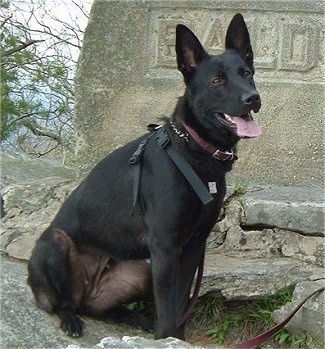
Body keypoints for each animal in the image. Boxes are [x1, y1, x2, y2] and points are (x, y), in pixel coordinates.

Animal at [27, 14, 260, 340]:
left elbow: (180, 303)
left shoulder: (193, 247)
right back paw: (71, 319)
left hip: (140, 270)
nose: (253, 98)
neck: (193, 151)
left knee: (97, 308)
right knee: (64, 303)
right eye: (217, 80)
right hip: (56, 243)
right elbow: (167, 308)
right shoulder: (164, 247)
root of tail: (85, 289)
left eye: (247, 73)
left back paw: (132, 318)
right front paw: (166, 337)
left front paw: (177, 339)